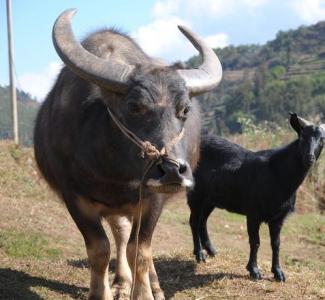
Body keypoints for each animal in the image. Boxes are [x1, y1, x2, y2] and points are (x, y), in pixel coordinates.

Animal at [34, 8, 223, 298]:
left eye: (185, 110)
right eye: (134, 106)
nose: (172, 171)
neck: (114, 169)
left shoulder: (152, 199)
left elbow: (140, 250)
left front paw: (145, 292)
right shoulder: (74, 197)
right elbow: (100, 250)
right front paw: (101, 292)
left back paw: (152, 285)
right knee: (120, 234)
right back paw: (122, 282)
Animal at [187, 113, 324, 282]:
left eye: (322, 139)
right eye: (302, 137)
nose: (309, 157)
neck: (278, 174)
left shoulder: (279, 217)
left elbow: (276, 243)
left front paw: (278, 272)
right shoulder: (253, 213)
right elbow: (255, 242)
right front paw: (254, 270)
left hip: (210, 198)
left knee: (202, 221)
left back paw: (211, 250)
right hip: (196, 193)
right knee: (194, 221)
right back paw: (199, 254)